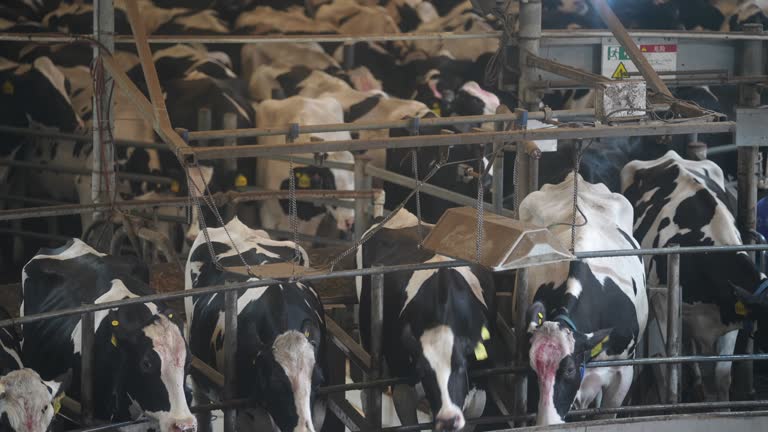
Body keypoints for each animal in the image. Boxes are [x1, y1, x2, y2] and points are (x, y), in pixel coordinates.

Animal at [356, 208, 492, 428]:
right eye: (423, 371)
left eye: (461, 365)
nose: (448, 419)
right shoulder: (404, 387)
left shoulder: (479, 394)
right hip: (367, 343)